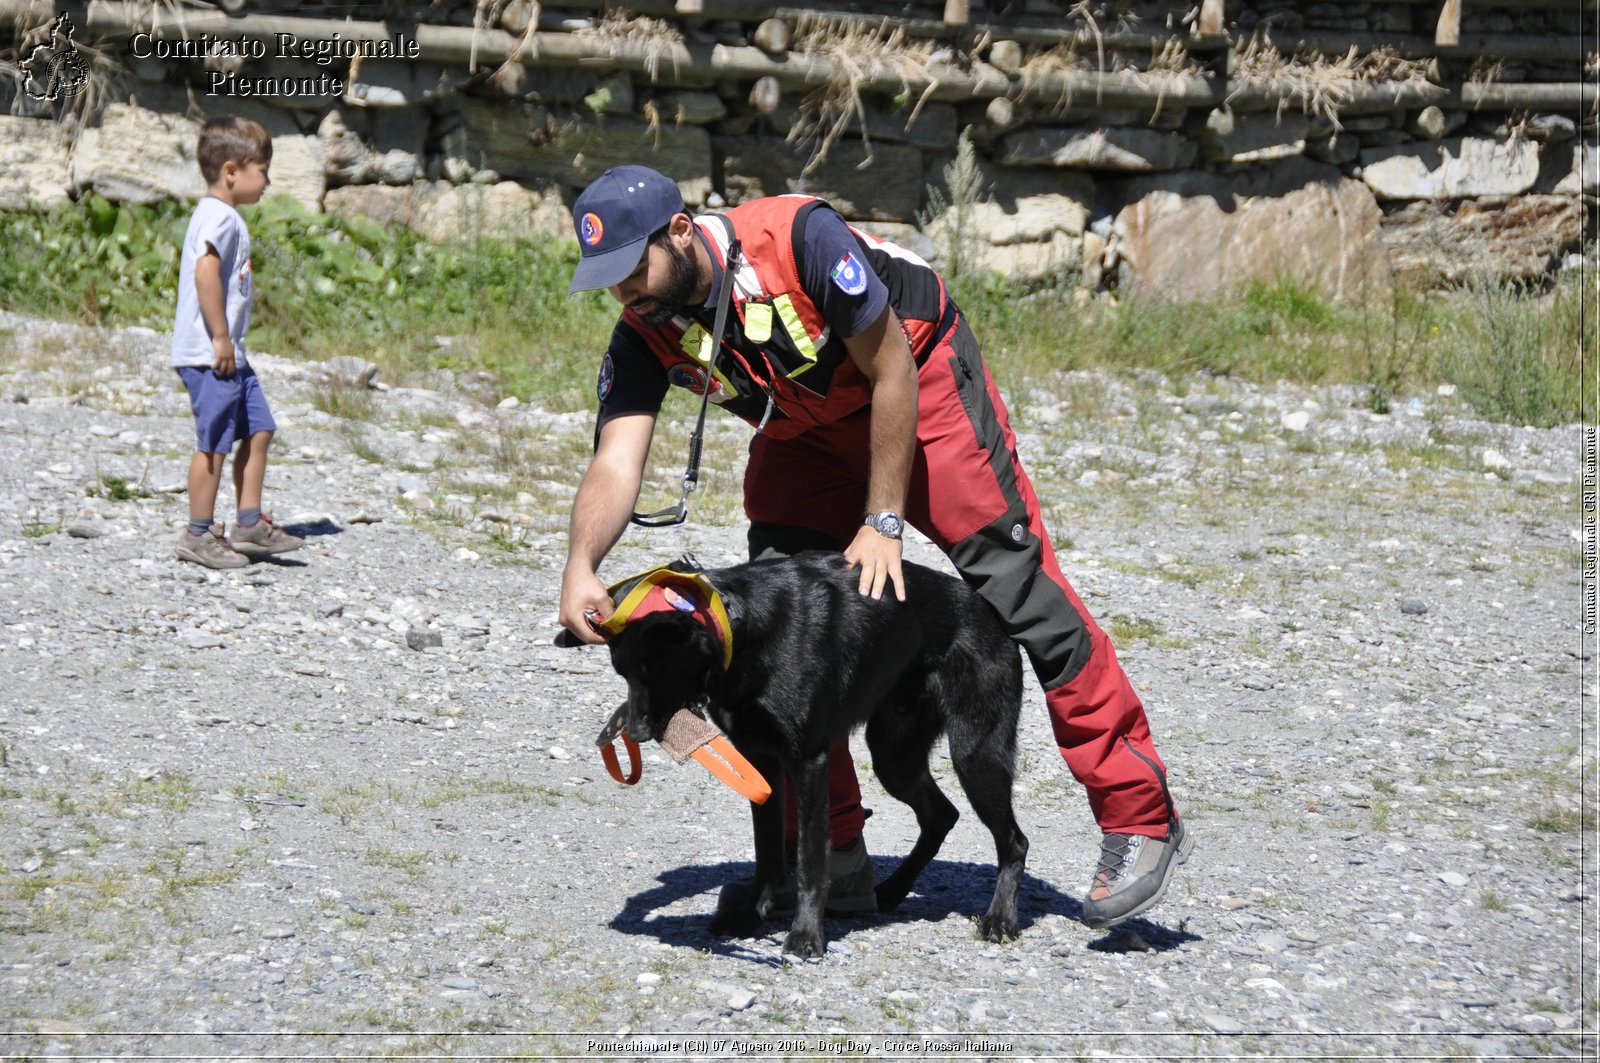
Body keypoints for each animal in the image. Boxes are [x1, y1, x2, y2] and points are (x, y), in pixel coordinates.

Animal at [592, 550, 1024, 960]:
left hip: (974, 755)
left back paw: (1000, 918)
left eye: (652, 669)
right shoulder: (760, 761)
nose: (635, 733)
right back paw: (893, 890)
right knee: (941, 816)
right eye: (623, 673)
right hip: (894, 758)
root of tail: (993, 616)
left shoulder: (808, 763)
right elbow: (767, 853)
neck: (742, 626)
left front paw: (805, 935)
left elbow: (810, 863)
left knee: (1014, 841)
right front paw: (749, 916)